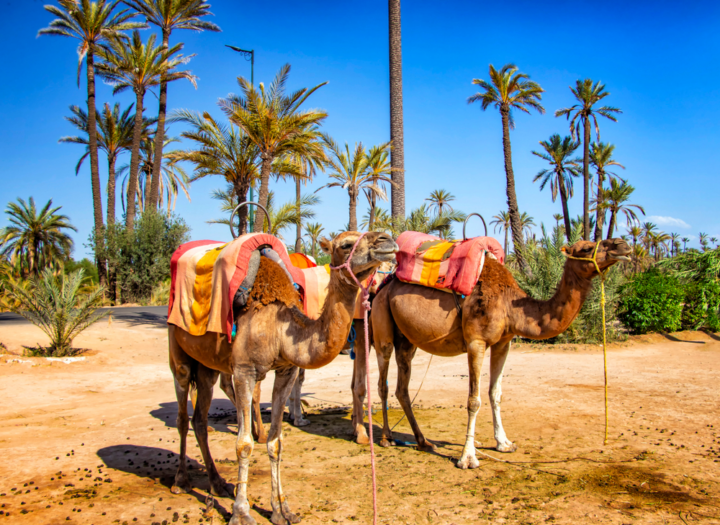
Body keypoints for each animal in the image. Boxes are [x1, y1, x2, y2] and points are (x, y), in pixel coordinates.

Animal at [168, 231, 398, 525]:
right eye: (346, 244)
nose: (386, 240)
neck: (277, 326)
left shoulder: (286, 369)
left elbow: (276, 442)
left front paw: (281, 509)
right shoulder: (244, 370)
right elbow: (243, 444)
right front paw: (242, 513)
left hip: (207, 364)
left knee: (199, 418)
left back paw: (218, 483)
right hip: (178, 350)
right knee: (182, 411)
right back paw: (181, 481)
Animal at [360, 238, 630, 469]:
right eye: (586, 248)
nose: (623, 245)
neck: (510, 304)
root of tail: (383, 286)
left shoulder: (504, 343)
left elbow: (495, 393)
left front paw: (504, 443)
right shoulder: (476, 342)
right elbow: (474, 400)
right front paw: (468, 458)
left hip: (407, 340)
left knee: (402, 388)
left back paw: (423, 441)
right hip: (382, 325)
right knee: (383, 382)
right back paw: (386, 438)